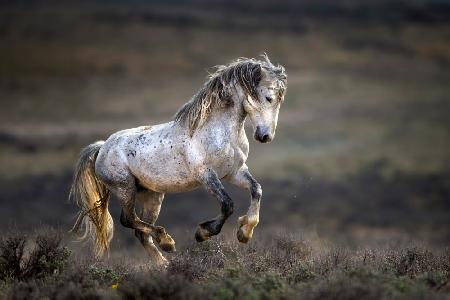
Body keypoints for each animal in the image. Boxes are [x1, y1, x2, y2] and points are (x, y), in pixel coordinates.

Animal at [70, 55, 288, 266]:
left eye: (280, 100)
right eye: (268, 97)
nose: (265, 136)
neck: (220, 132)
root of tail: (102, 147)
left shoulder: (235, 172)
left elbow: (256, 190)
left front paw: (245, 233)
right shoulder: (206, 175)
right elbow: (227, 204)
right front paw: (203, 233)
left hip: (151, 194)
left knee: (140, 231)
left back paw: (164, 263)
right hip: (125, 188)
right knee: (129, 220)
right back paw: (167, 241)